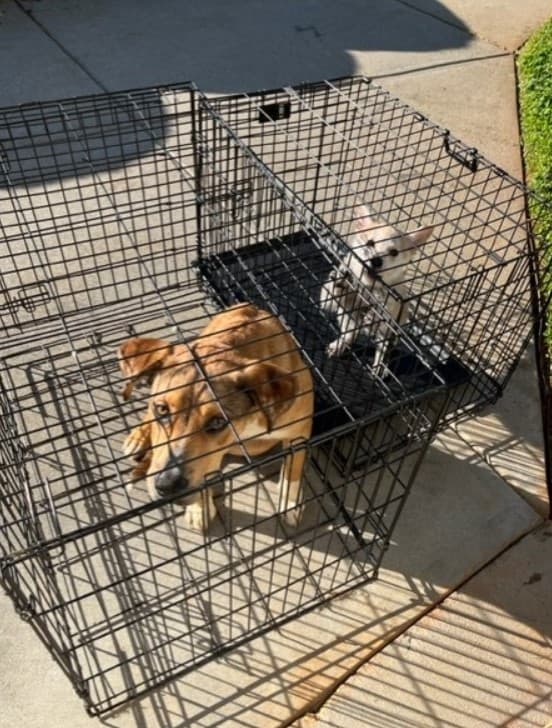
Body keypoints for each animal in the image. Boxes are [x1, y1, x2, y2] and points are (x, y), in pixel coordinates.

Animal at [118, 304, 312, 532]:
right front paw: (199, 509)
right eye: (162, 410)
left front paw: (290, 503)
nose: (167, 486)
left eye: (218, 422)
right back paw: (138, 437)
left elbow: (293, 469)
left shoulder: (299, 430)